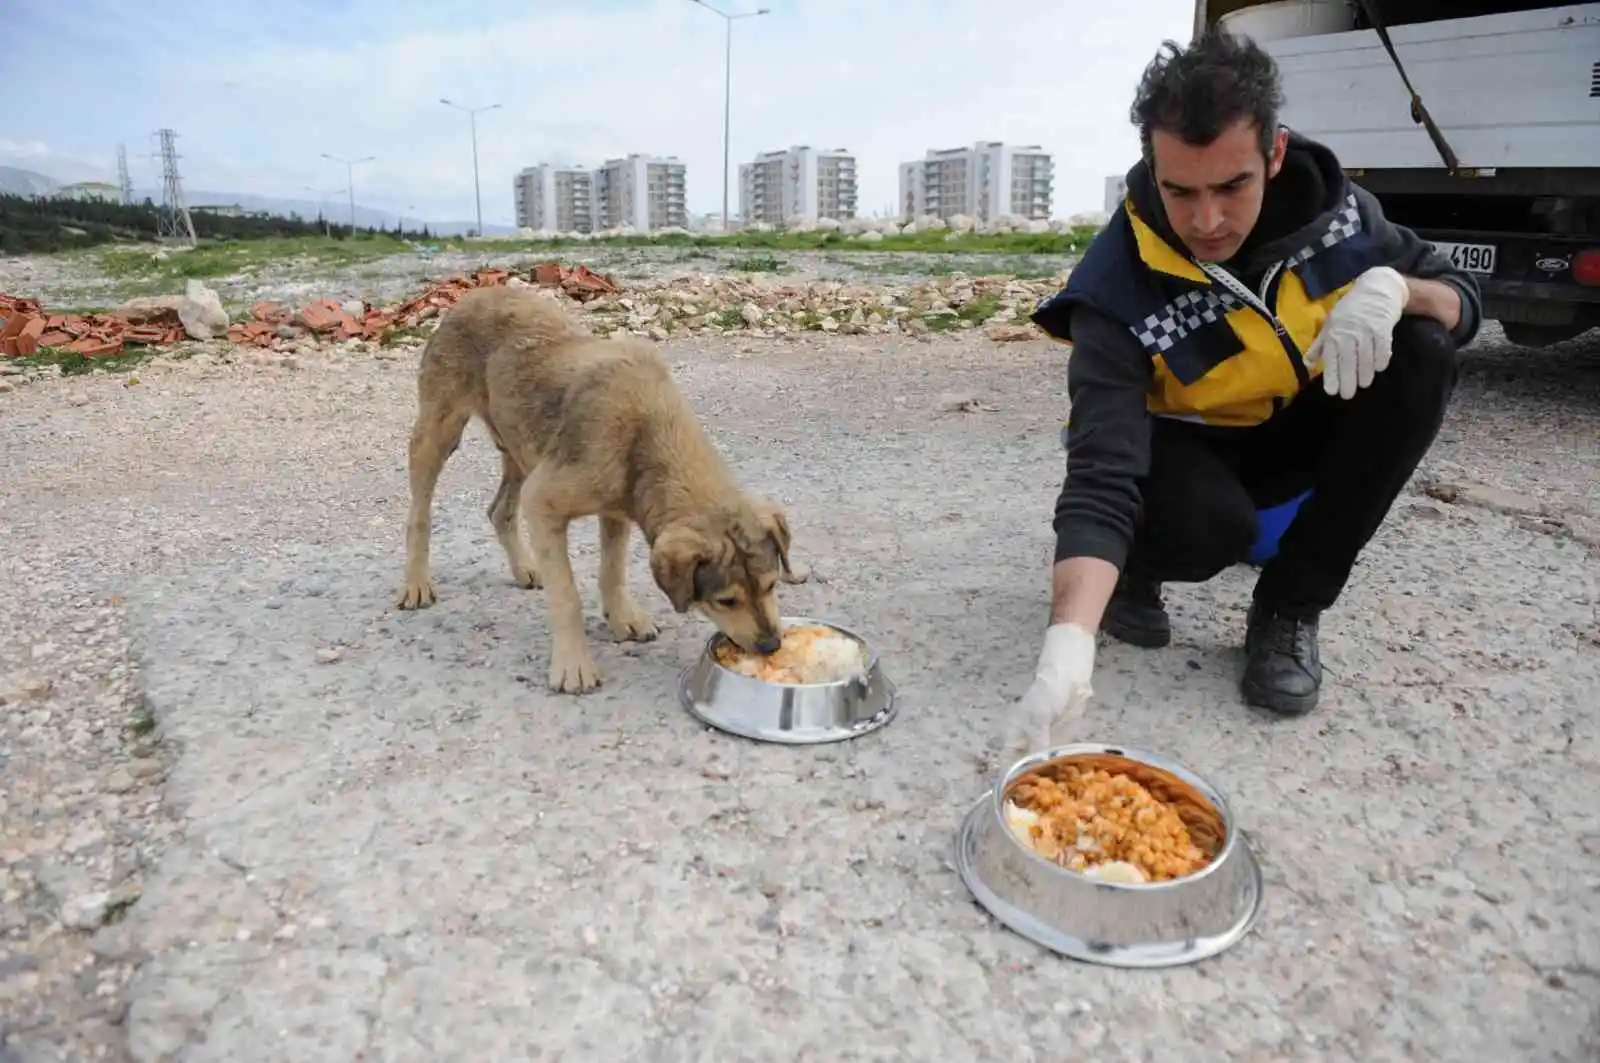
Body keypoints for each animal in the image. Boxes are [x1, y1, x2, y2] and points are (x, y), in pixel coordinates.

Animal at [395, 286, 806, 694]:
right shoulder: (544, 500)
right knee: (420, 514)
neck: (648, 432)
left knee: (500, 510)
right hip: (439, 432)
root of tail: (474, 293)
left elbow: (612, 570)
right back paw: (416, 583)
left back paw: (525, 566)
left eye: (771, 585)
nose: (771, 645)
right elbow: (567, 595)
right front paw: (573, 665)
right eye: (726, 601)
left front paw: (622, 618)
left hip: (521, 446)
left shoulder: (616, 509)